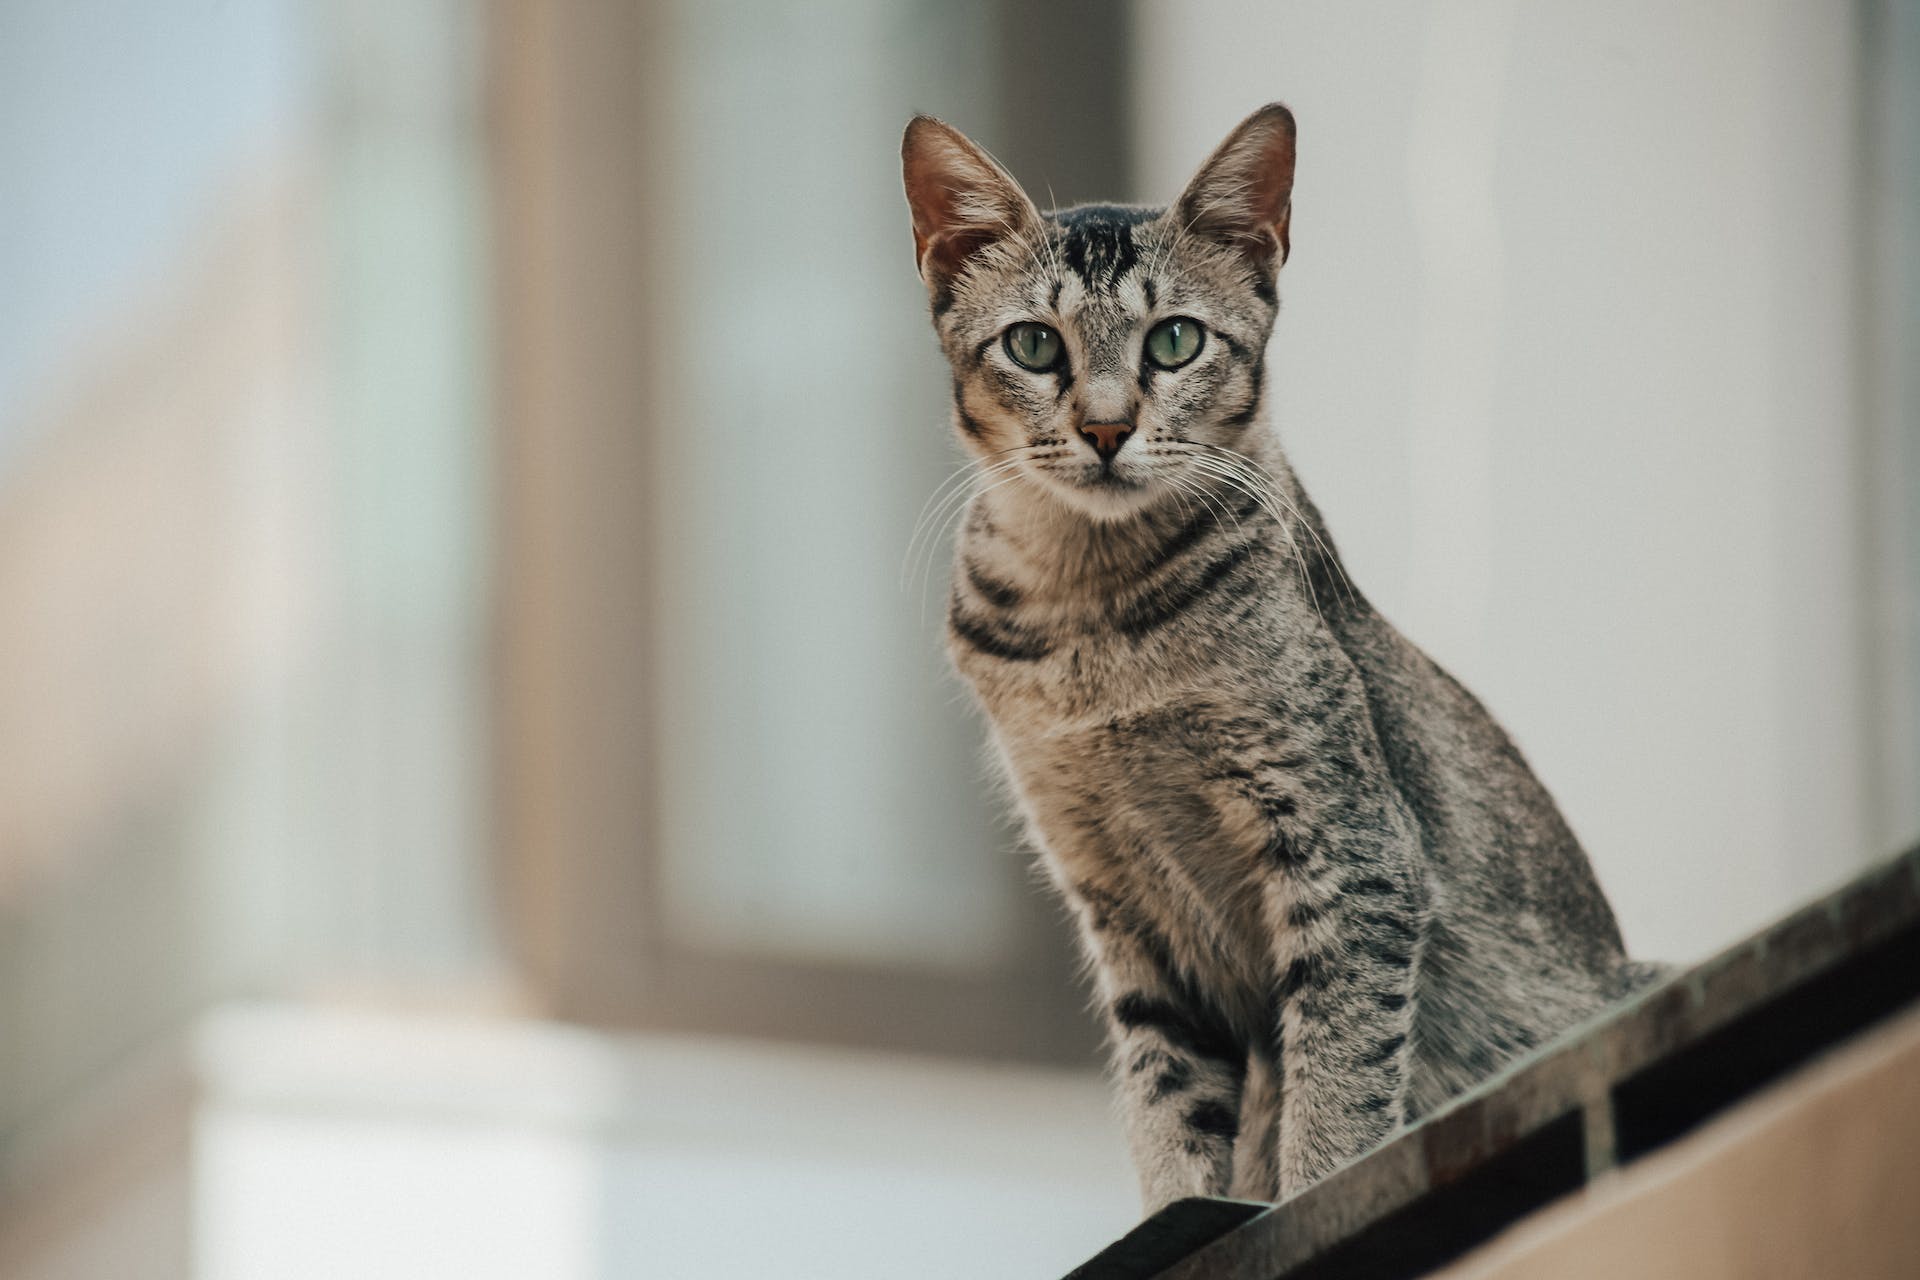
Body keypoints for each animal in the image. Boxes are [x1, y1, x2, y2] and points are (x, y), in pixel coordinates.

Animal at [898, 102, 1666, 1212]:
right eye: (1034, 345)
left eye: (1175, 341)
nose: (1104, 427)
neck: (1091, 617)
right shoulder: (1121, 906)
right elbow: (1168, 1106)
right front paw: (1178, 1206)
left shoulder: (1351, 850)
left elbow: (1338, 1081)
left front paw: (1316, 1182)